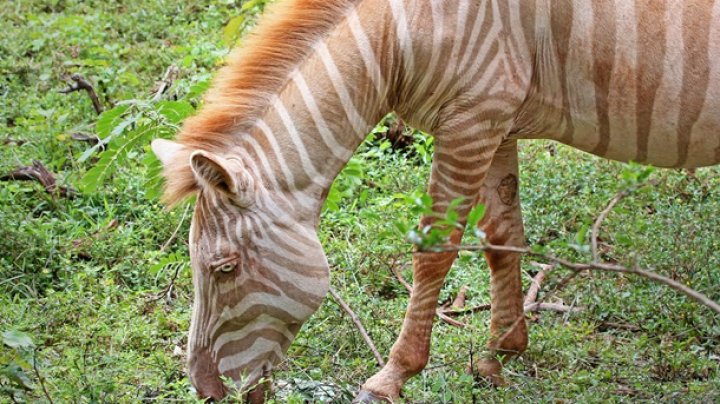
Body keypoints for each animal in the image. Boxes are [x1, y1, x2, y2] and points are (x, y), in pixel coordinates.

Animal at [150, 0, 720, 400]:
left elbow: (434, 251)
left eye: (224, 268)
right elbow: (502, 238)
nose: (205, 391)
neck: (397, 34)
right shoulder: (496, 122)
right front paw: (499, 356)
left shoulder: (472, 121)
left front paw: (391, 378)